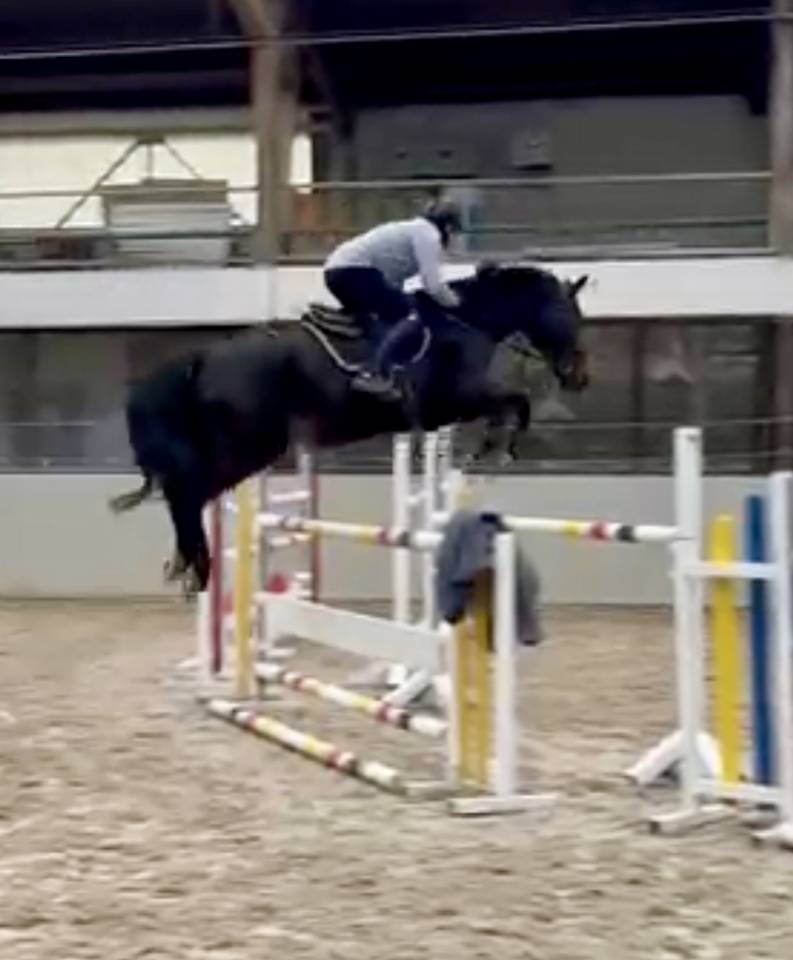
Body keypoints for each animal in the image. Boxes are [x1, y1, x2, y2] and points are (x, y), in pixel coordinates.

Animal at [110, 261, 590, 594]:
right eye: (570, 315)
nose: (579, 377)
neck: (464, 322)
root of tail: (203, 358)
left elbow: (512, 405)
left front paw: (489, 450)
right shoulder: (456, 399)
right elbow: (517, 403)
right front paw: (496, 451)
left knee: (185, 492)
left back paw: (185, 564)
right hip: (249, 446)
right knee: (187, 492)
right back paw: (197, 567)